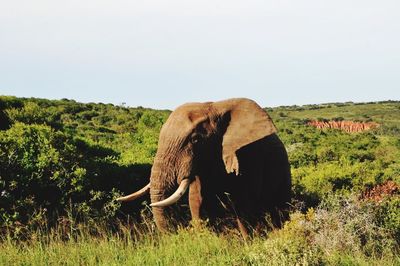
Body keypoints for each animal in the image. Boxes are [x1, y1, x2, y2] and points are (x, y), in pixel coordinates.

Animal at [117, 97, 292, 235]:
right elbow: (197, 203)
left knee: (279, 209)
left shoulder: (248, 155)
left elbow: (245, 207)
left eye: (195, 140)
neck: (214, 108)